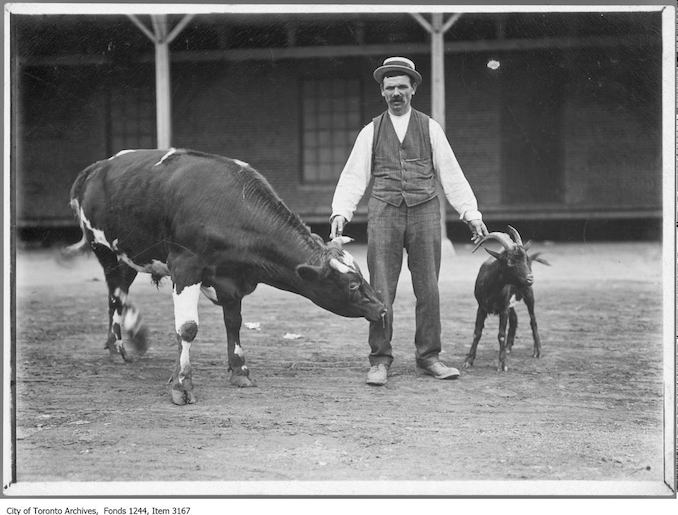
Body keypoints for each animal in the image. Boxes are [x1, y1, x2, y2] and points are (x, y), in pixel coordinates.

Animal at [70, 147, 388, 406]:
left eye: (361, 275)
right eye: (352, 284)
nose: (382, 308)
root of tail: (97, 167)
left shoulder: (232, 280)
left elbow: (233, 322)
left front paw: (239, 370)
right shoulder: (185, 267)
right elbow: (187, 329)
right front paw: (182, 385)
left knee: (118, 298)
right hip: (107, 253)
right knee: (115, 297)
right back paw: (119, 347)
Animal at [464, 226, 548, 370]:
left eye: (524, 259)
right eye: (510, 261)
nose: (530, 278)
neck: (491, 288)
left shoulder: (503, 309)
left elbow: (501, 335)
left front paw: (502, 364)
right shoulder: (482, 307)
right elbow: (477, 332)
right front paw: (469, 360)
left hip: (528, 294)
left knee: (533, 320)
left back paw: (537, 351)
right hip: (510, 302)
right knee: (514, 318)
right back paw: (508, 347)